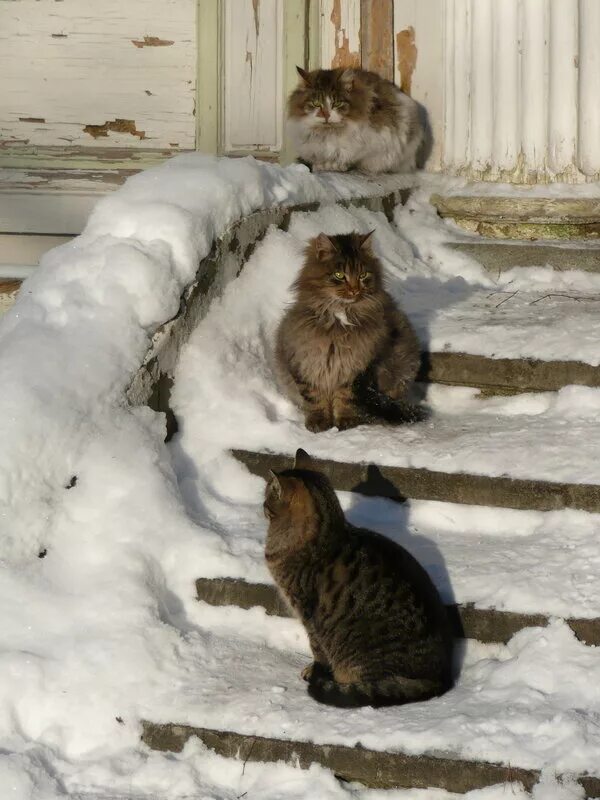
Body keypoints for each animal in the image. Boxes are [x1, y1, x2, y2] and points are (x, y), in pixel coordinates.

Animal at [264, 446, 452, 708]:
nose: (261, 504)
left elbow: (317, 652)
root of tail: (439, 679)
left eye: (268, 495)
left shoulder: (308, 615)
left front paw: (313, 671)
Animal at [276, 231, 422, 432]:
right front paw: (318, 422)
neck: (339, 322)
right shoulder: (305, 364)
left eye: (362, 275)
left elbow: (346, 399)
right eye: (339, 275)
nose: (354, 290)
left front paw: (346, 420)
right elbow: (314, 399)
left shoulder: (356, 369)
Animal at [286, 69, 422, 175]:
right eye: (316, 103)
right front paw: (322, 165)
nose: (326, 115)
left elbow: (348, 159)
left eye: (337, 103)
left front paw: (335, 166)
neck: (327, 134)